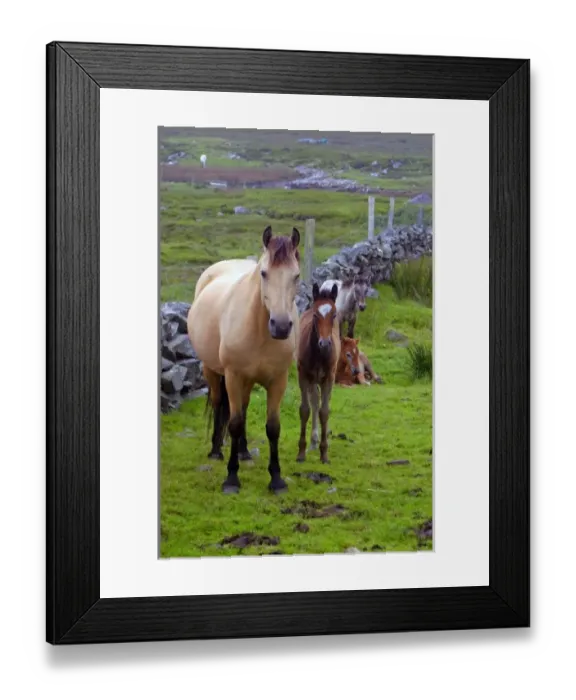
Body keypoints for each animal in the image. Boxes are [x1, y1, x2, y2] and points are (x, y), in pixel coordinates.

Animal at [187, 225, 301, 495]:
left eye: (296, 276)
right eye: (264, 273)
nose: (281, 326)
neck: (258, 328)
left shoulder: (278, 380)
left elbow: (273, 427)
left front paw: (277, 479)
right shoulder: (233, 376)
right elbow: (235, 423)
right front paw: (231, 479)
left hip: (247, 381)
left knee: (245, 407)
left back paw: (245, 452)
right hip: (212, 371)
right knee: (219, 403)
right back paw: (216, 450)